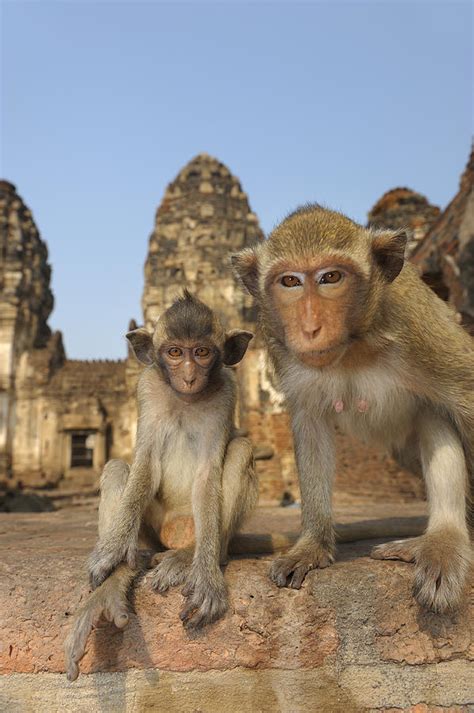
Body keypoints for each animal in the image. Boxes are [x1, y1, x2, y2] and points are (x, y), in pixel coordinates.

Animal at [65, 290, 258, 680]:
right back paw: (119, 576)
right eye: (174, 352)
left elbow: (208, 474)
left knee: (241, 449)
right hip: (152, 527)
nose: (188, 376)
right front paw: (111, 554)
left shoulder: (227, 392)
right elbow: (145, 465)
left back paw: (189, 556)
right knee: (116, 467)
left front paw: (207, 577)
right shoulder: (148, 388)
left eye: (202, 352)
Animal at [231, 204, 472, 612]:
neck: (353, 345)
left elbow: (466, 395)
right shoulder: (281, 348)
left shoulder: (418, 328)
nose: (310, 327)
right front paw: (312, 544)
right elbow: (311, 424)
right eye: (290, 282)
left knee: (435, 416)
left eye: (331, 277)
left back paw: (443, 538)